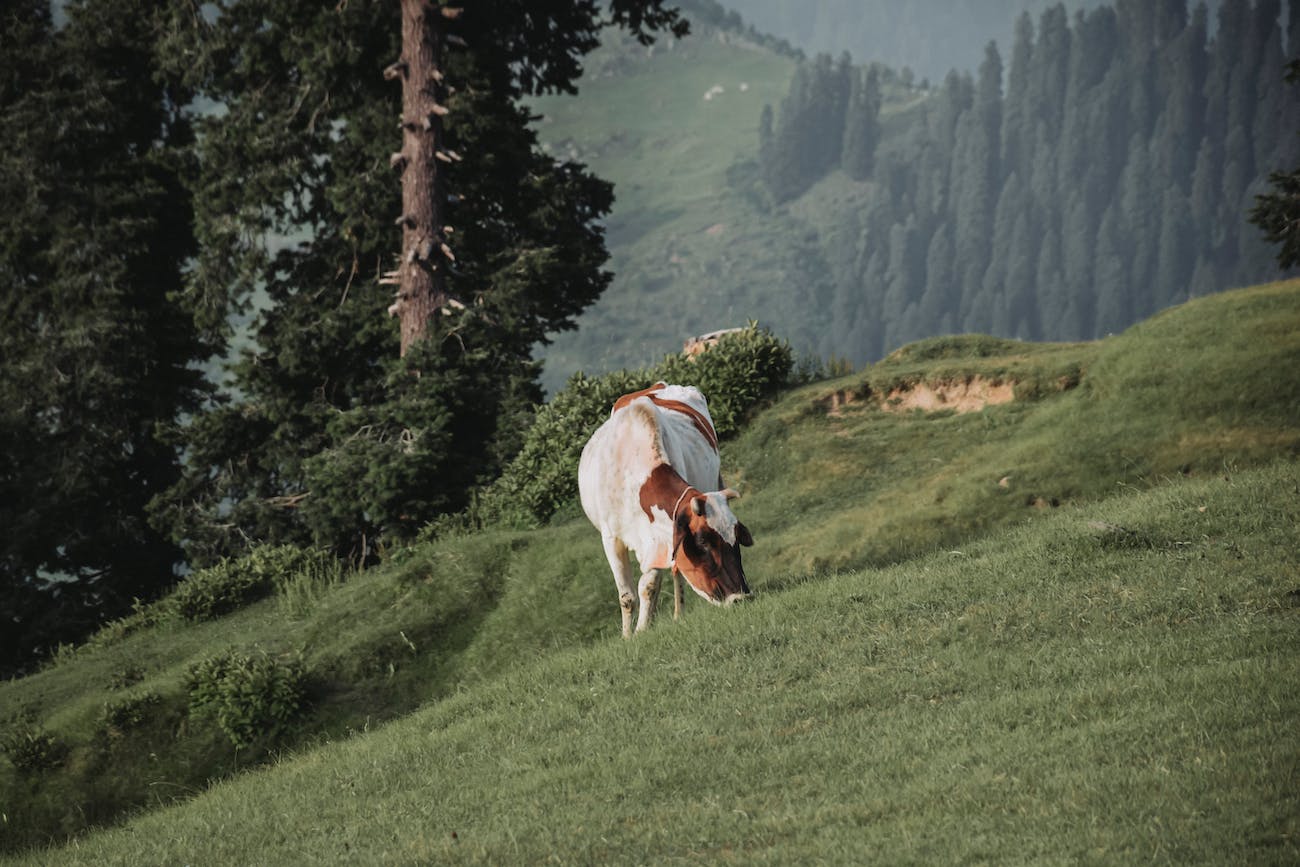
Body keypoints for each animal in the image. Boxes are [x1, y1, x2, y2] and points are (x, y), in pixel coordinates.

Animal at [579, 382, 754, 636]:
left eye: (736, 538)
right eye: (703, 542)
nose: (740, 597)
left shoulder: (662, 538)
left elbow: (649, 584)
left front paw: (642, 629)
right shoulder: (611, 538)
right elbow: (627, 596)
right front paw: (628, 637)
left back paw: (677, 615)